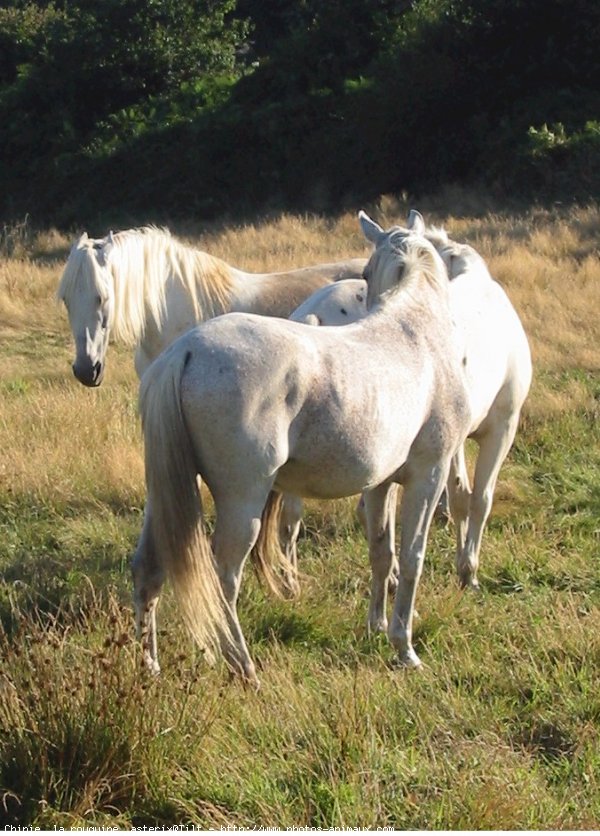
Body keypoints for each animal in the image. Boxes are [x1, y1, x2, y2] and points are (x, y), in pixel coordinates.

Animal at [134, 212, 472, 684]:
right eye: (365, 272)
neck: (417, 332)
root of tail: (185, 352)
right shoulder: (429, 475)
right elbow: (411, 557)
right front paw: (404, 647)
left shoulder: (380, 485)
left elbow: (381, 553)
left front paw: (377, 626)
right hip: (243, 503)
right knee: (223, 580)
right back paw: (244, 668)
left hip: (166, 492)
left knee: (149, 570)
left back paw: (150, 666)